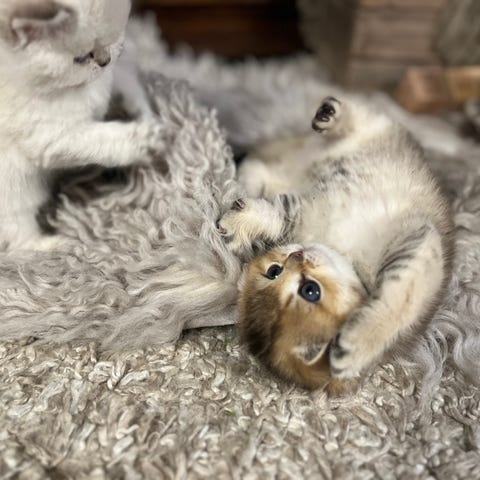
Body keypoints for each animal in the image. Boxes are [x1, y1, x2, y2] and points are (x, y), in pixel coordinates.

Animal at [0, 0, 163, 251]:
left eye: (114, 37)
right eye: (81, 58)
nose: (105, 61)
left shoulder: (114, 73)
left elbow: (126, 85)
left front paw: (141, 113)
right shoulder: (52, 137)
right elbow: (101, 138)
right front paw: (145, 140)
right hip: (13, 194)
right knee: (19, 240)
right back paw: (59, 244)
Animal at [217, 95, 454, 394]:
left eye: (310, 291)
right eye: (275, 271)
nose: (297, 256)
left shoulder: (420, 240)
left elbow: (401, 302)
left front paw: (361, 342)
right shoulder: (306, 208)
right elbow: (278, 211)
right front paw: (243, 220)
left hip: (374, 134)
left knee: (363, 118)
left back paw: (332, 114)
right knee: (258, 166)